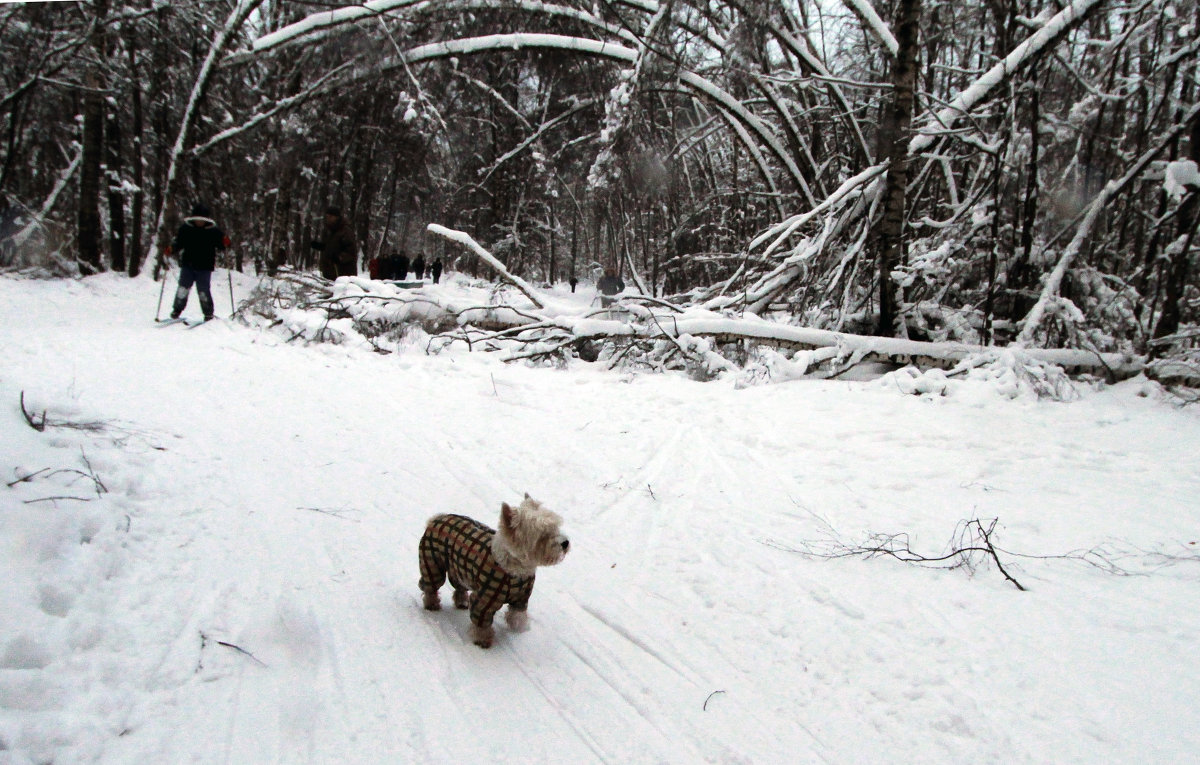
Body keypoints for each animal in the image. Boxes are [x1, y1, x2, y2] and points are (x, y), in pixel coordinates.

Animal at [420, 498, 568, 647]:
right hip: (432, 562)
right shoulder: (484, 600)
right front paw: (483, 640)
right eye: (542, 535)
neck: (515, 571)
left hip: (458, 569)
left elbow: (517, 615)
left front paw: (520, 629)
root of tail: (436, 518)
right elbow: (481, 623)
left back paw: (462, 601)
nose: (565, 543)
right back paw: (432, 604)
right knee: (431, 587)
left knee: (458, 586)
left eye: (555, 527)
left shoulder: (521, 599)